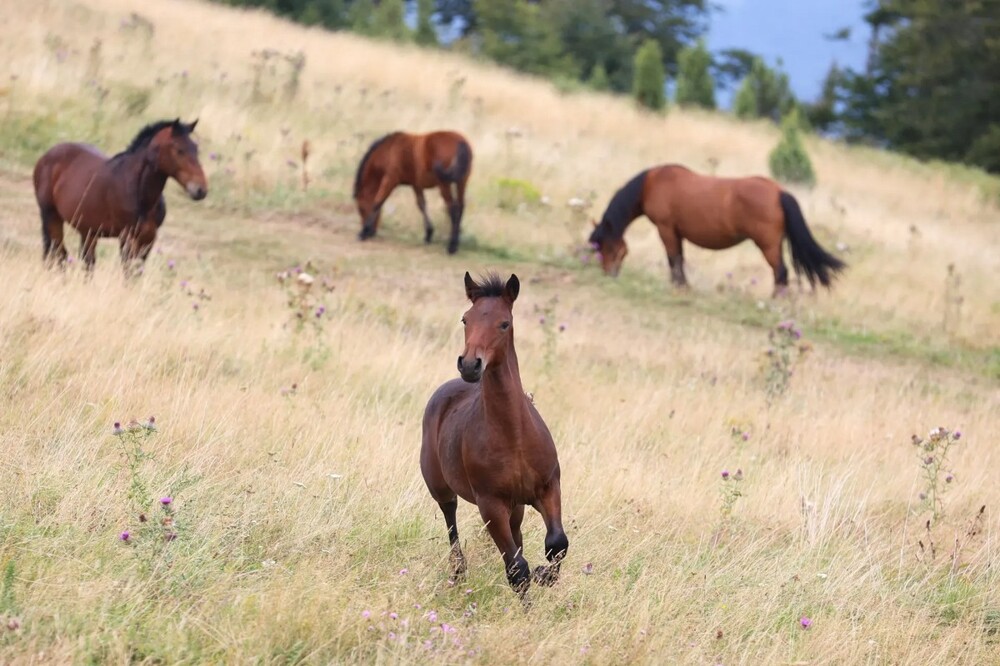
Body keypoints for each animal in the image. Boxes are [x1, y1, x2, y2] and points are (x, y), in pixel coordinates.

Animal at [32, 118, 207, 272]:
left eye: (196, 148)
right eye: (179, 150)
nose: (201, 190)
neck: (139, 194)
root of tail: (47, 155)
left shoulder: (148, 238)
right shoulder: (126, 237)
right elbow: (128, 272)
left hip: (87, 230)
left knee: (85, 261)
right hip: (51, 216)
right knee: (58, 254)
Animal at [418, 272, 568, 592]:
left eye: (504, 323)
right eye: (465, 319)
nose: (470, 365)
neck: (515, 437)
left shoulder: (549, 487)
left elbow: (557, 543)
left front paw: (545, 575)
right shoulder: (490, 504)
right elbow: (517, 569)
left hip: (517, 506)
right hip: (441, 488)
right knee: (451, 520)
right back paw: (458, 572)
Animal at [588, 164, 848, 294]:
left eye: (610, 248)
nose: (609, 274)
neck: (652, 183)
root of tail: (779, 192)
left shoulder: (666, 229)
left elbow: (674, 259)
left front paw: (678, 286)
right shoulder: (677, 232)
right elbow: (679, 258)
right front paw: (683, 285)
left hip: (768, 245)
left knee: (781, 273)